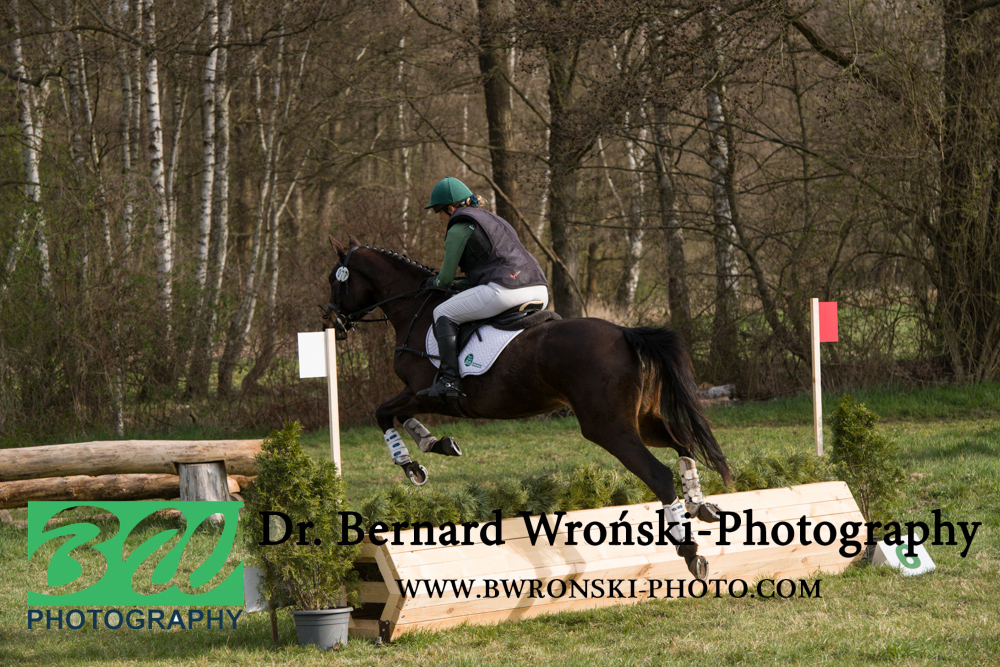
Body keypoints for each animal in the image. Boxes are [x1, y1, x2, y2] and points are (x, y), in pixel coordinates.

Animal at [322, 236, 733, 579]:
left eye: (334, 280)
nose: (331, 320)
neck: (415, 310)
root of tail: (626, 333)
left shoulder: (426, 391)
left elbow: (383, 413)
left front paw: (411, 465)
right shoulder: (417, 394)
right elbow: (398, 414)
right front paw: (435, 444)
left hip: (608, 427)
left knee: (659, 476)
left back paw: (690, 551)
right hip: (642, 421)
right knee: (683, 444)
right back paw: (700, 506)